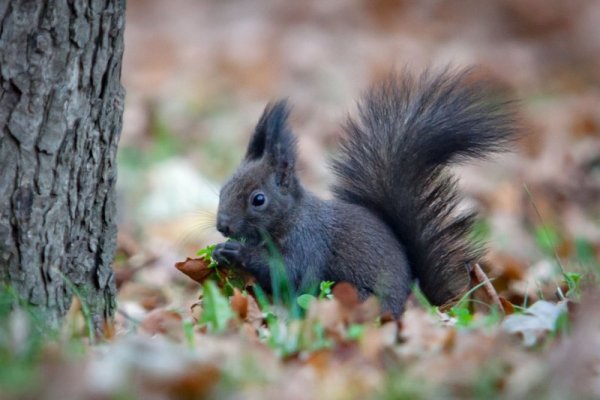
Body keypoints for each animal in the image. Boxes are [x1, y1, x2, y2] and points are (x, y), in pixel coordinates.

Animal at [211, 69, 516, 316]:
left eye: (258, 199)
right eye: (223, 189)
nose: (222, 226)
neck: (292, 216)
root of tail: (419, 303)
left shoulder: (307, 243)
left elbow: (287, 271)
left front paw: (237, 251)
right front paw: (217, 251)